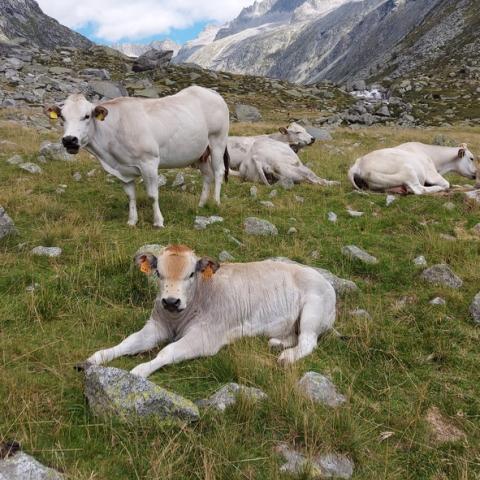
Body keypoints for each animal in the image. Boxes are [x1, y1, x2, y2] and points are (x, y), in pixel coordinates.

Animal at [46, 85, 230, 228]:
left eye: (86, 116)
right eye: (62, 117)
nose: (69, 140)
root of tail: (211, 92)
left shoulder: (149, 162)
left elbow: (152, 195)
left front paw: (158, 222)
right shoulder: (122, 169)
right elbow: (130, 196)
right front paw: (132, 221)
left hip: (218, 141)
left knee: (218, 172)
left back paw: (216, 202)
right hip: (200, 152)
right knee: (207, 175)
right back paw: (201, 204)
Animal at [81, 246, 338, 376]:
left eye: (191, 274)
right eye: (158, 273)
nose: (171, 301)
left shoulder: (205, 336)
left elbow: (166, 352)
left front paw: (139, 371)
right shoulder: (155, 325)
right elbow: (129, 342)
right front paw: (95, 358)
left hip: (313, 311)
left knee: (308, 341)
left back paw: (287, 357)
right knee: (295, 335)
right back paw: (277, 343)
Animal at [346, 142, 478, 194]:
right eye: (471, 158)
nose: (476, 173)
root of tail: (358, 164)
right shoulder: (431, 174)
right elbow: (447, 183)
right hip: (408, 171)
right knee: (419, 189)